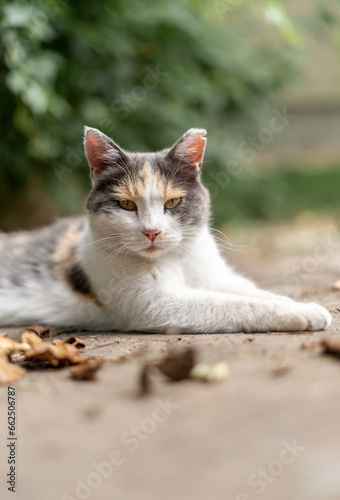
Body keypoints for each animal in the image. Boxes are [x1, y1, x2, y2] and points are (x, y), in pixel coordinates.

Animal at [0, 128, 330, 332]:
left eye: (173, 202)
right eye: (126, 204)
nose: (152, 231)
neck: (176, 259)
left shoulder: (217, 277)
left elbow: (255, 292)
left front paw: (302, 306)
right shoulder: (155, 304)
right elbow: (233, 304)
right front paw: (300, 313)